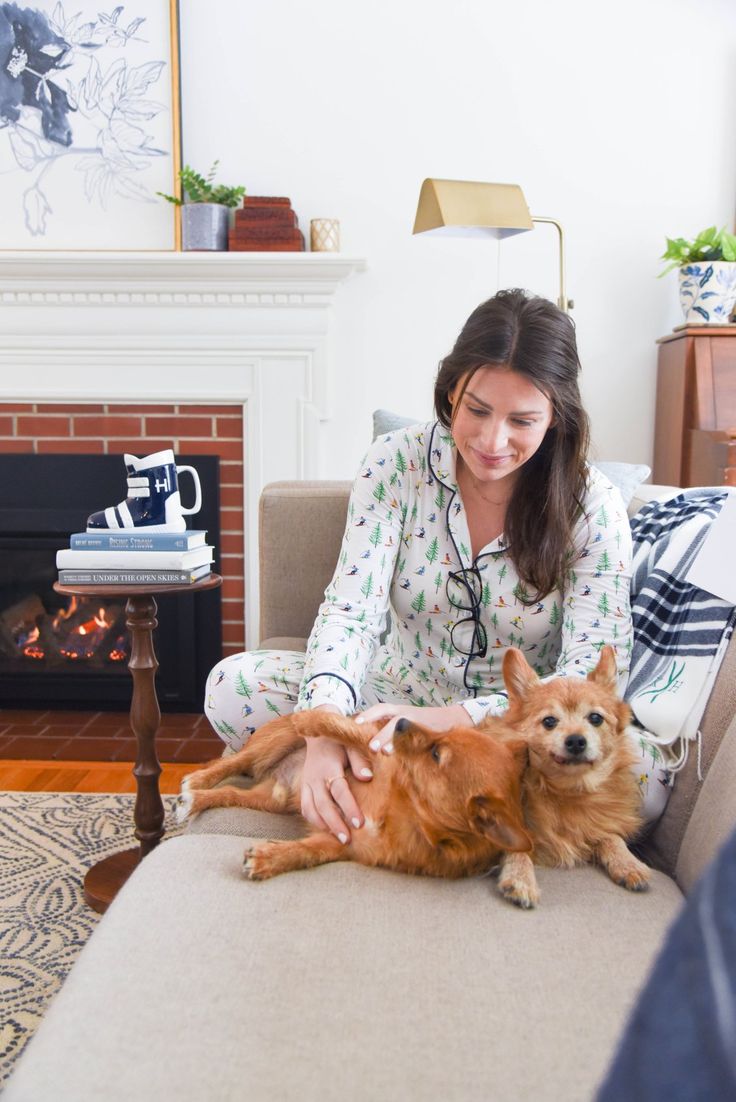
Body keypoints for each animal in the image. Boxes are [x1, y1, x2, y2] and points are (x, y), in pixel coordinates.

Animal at [178, 709, 535, 881]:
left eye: (436, 754)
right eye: (444, 733)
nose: (401, 721)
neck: (402, 809)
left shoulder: (339, 842)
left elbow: (306, 853)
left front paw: (270, 858)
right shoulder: (373, 749)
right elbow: (343, 727)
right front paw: (312, 717)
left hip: (270, 798)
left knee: (229, 792)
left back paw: (198, 799)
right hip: (269, 744)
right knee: (230, 764)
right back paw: (196, 782)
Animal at [482, 643, 647, 908]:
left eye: (595, 718)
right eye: (549, 721)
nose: (576, 740)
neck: (567, 790)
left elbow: (611, 836)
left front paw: (628, 863)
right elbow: (517, 848)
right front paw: (521, 879)